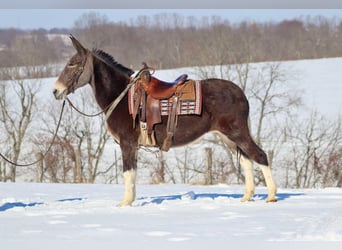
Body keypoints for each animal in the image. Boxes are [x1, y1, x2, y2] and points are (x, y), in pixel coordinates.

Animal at [53, 35, 278, 207]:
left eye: (73, 64)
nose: (56, 90)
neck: (122, 97)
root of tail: (239, 92)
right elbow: (131, 173)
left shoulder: (127, 143)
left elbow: (128, 173)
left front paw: (125, 203)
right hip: (227, 137)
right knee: (246, 161)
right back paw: (246, 197)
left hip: (237, 132)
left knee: (260, 156)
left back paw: (271, 196)